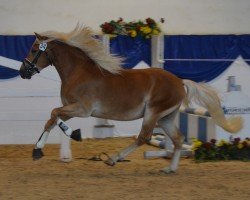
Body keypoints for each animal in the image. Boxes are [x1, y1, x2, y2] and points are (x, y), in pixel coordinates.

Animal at [19, 26, 242, 173]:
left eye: (33, 49)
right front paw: (38, 151)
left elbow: (54, 115)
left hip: (153, 112)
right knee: (177, 139)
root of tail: (180, 81)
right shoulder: (71, 108)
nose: (23, 72)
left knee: (144, 137)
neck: (79, 72)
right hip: (166, 117)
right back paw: (169, 169)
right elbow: (52, 119)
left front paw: (73, 134)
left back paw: (113, 159)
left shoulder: (82, 109)